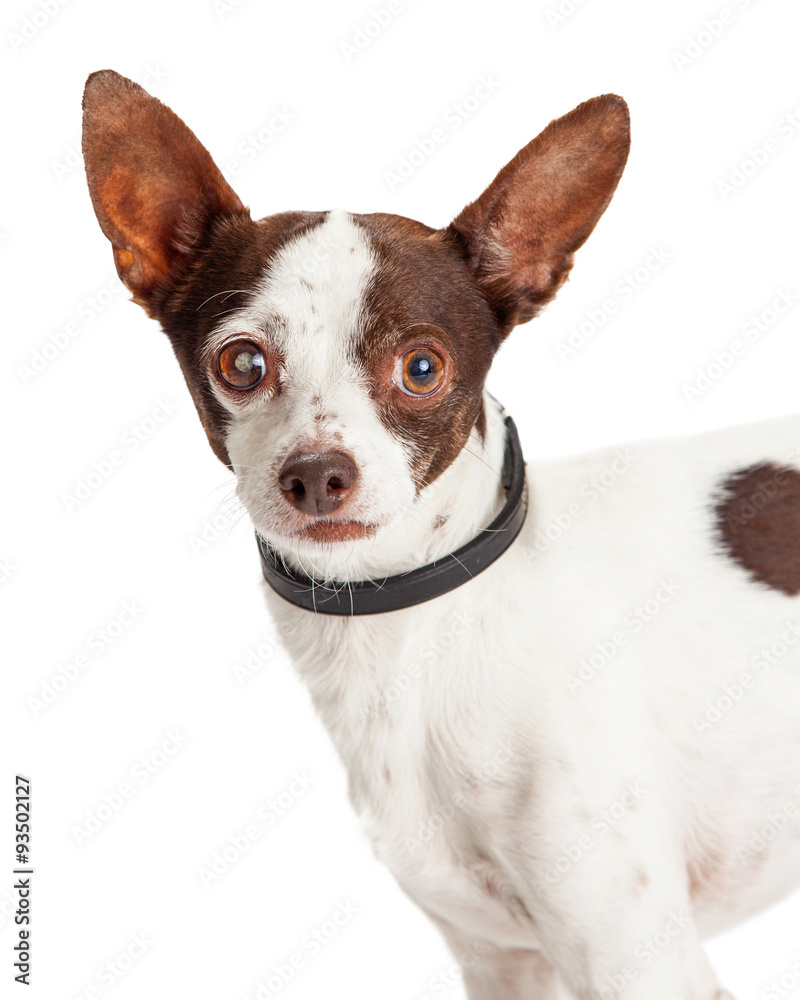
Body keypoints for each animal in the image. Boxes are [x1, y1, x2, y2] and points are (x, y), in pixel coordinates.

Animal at [83, 68, 800, 992]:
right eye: (241, 363)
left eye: (421, 368)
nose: (316, 474)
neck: (410, 631)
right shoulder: (502, 963)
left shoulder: (637, 963)